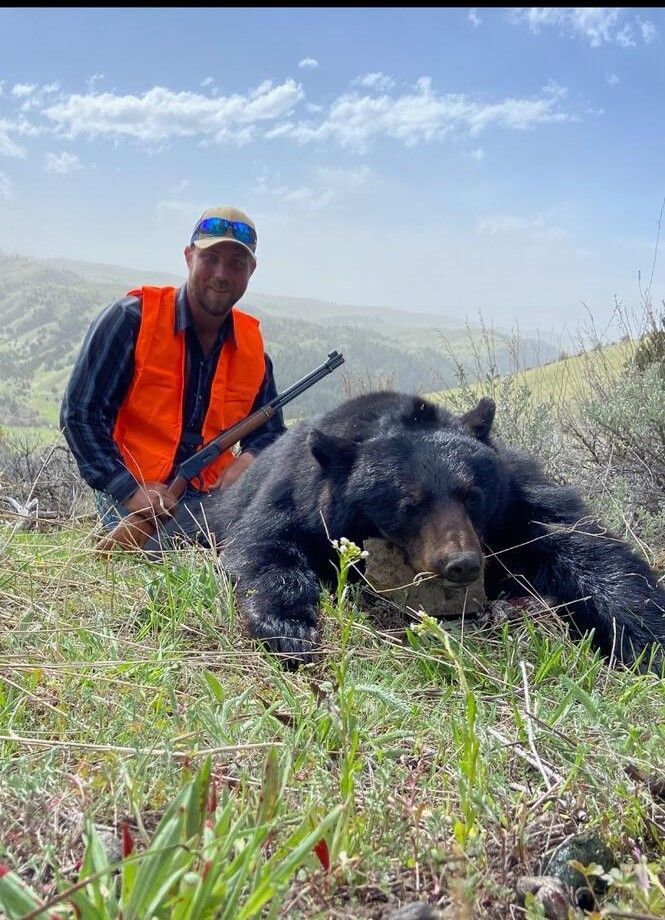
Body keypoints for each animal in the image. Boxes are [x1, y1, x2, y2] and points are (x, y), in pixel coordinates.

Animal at [176, 391, 665, 671]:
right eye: (409, 502)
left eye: (471, 494)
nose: (462, 564)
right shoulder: (297, 495)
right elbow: (264, 545)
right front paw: (289, 629)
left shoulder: (517, 497)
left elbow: (582, 543)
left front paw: (646, 640)